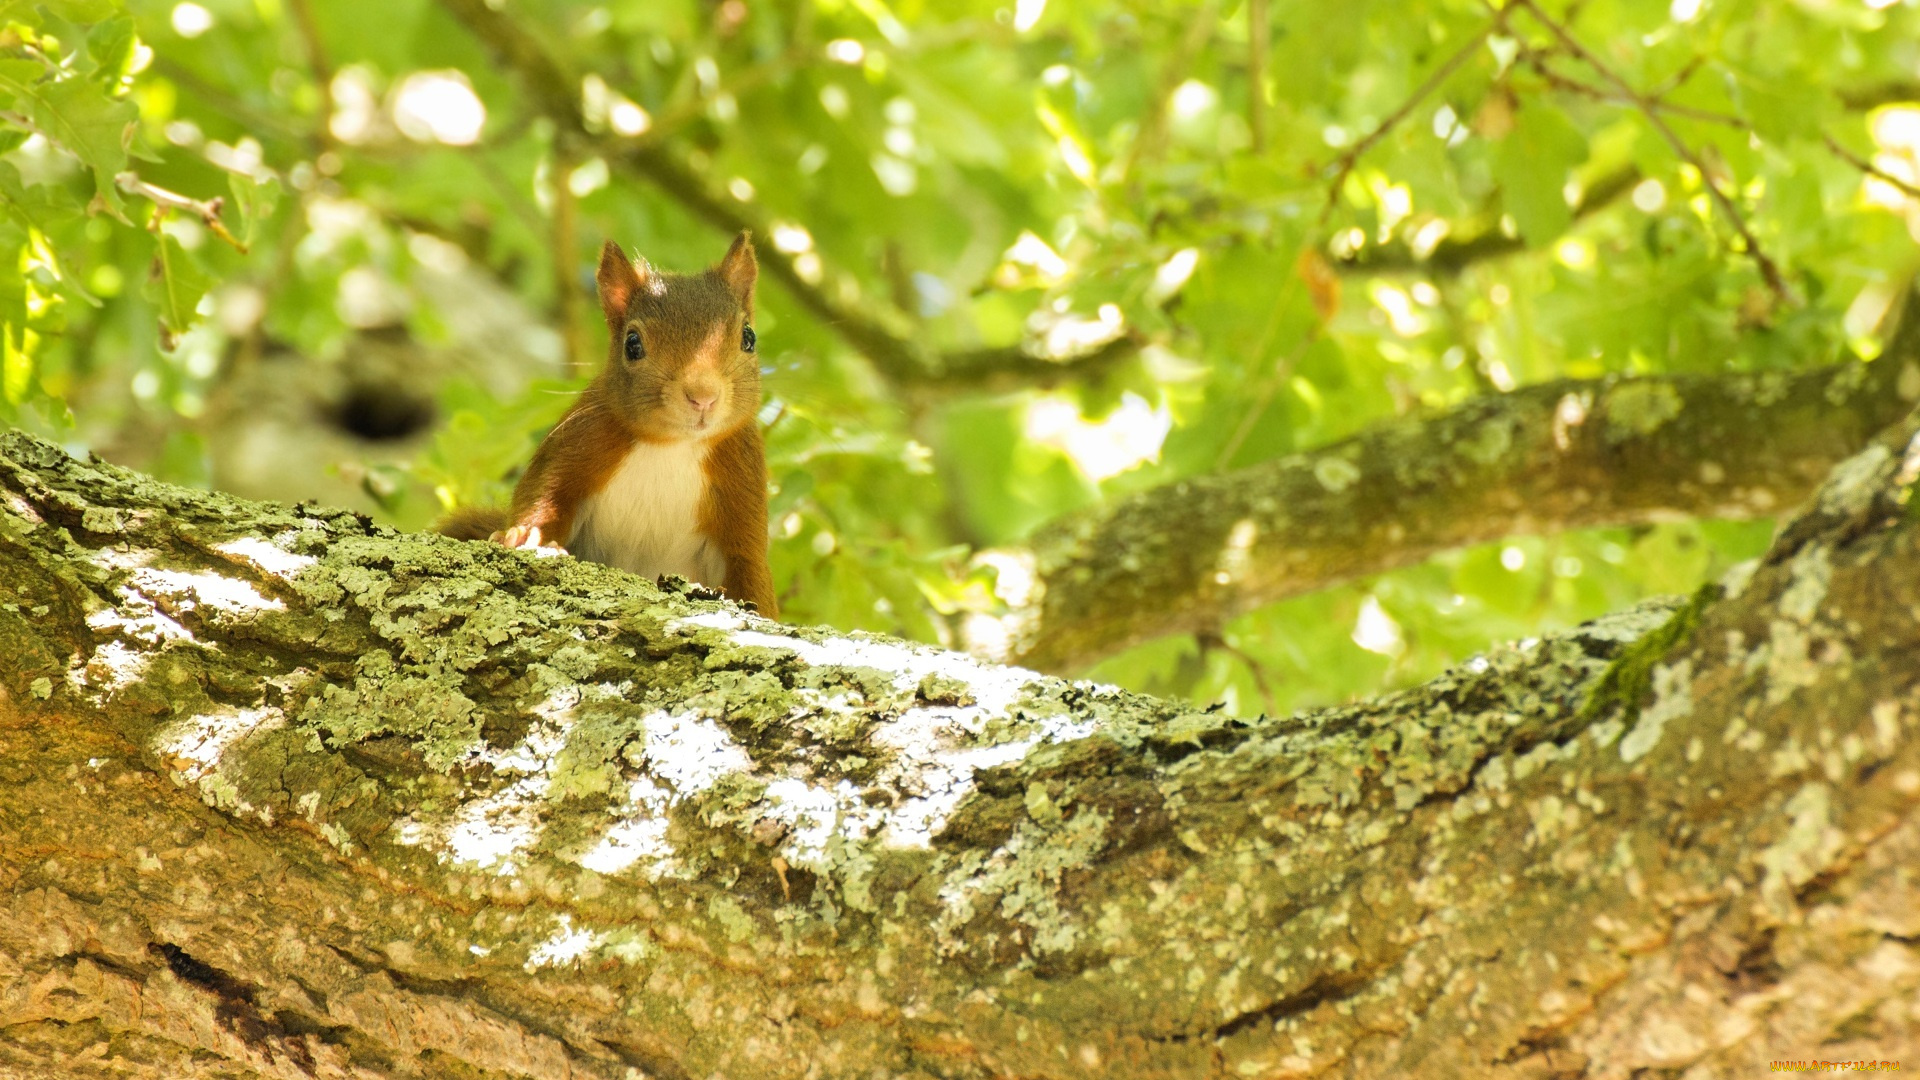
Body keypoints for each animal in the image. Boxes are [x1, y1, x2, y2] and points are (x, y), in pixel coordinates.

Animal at [441, 228, 779, 614]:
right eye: (632, 344)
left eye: (748, 338)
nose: (703, 395)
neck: (671, 446)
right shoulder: (575, 443)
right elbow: (544, 499)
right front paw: (524, 535)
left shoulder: (742, 484)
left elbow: (747, 564)